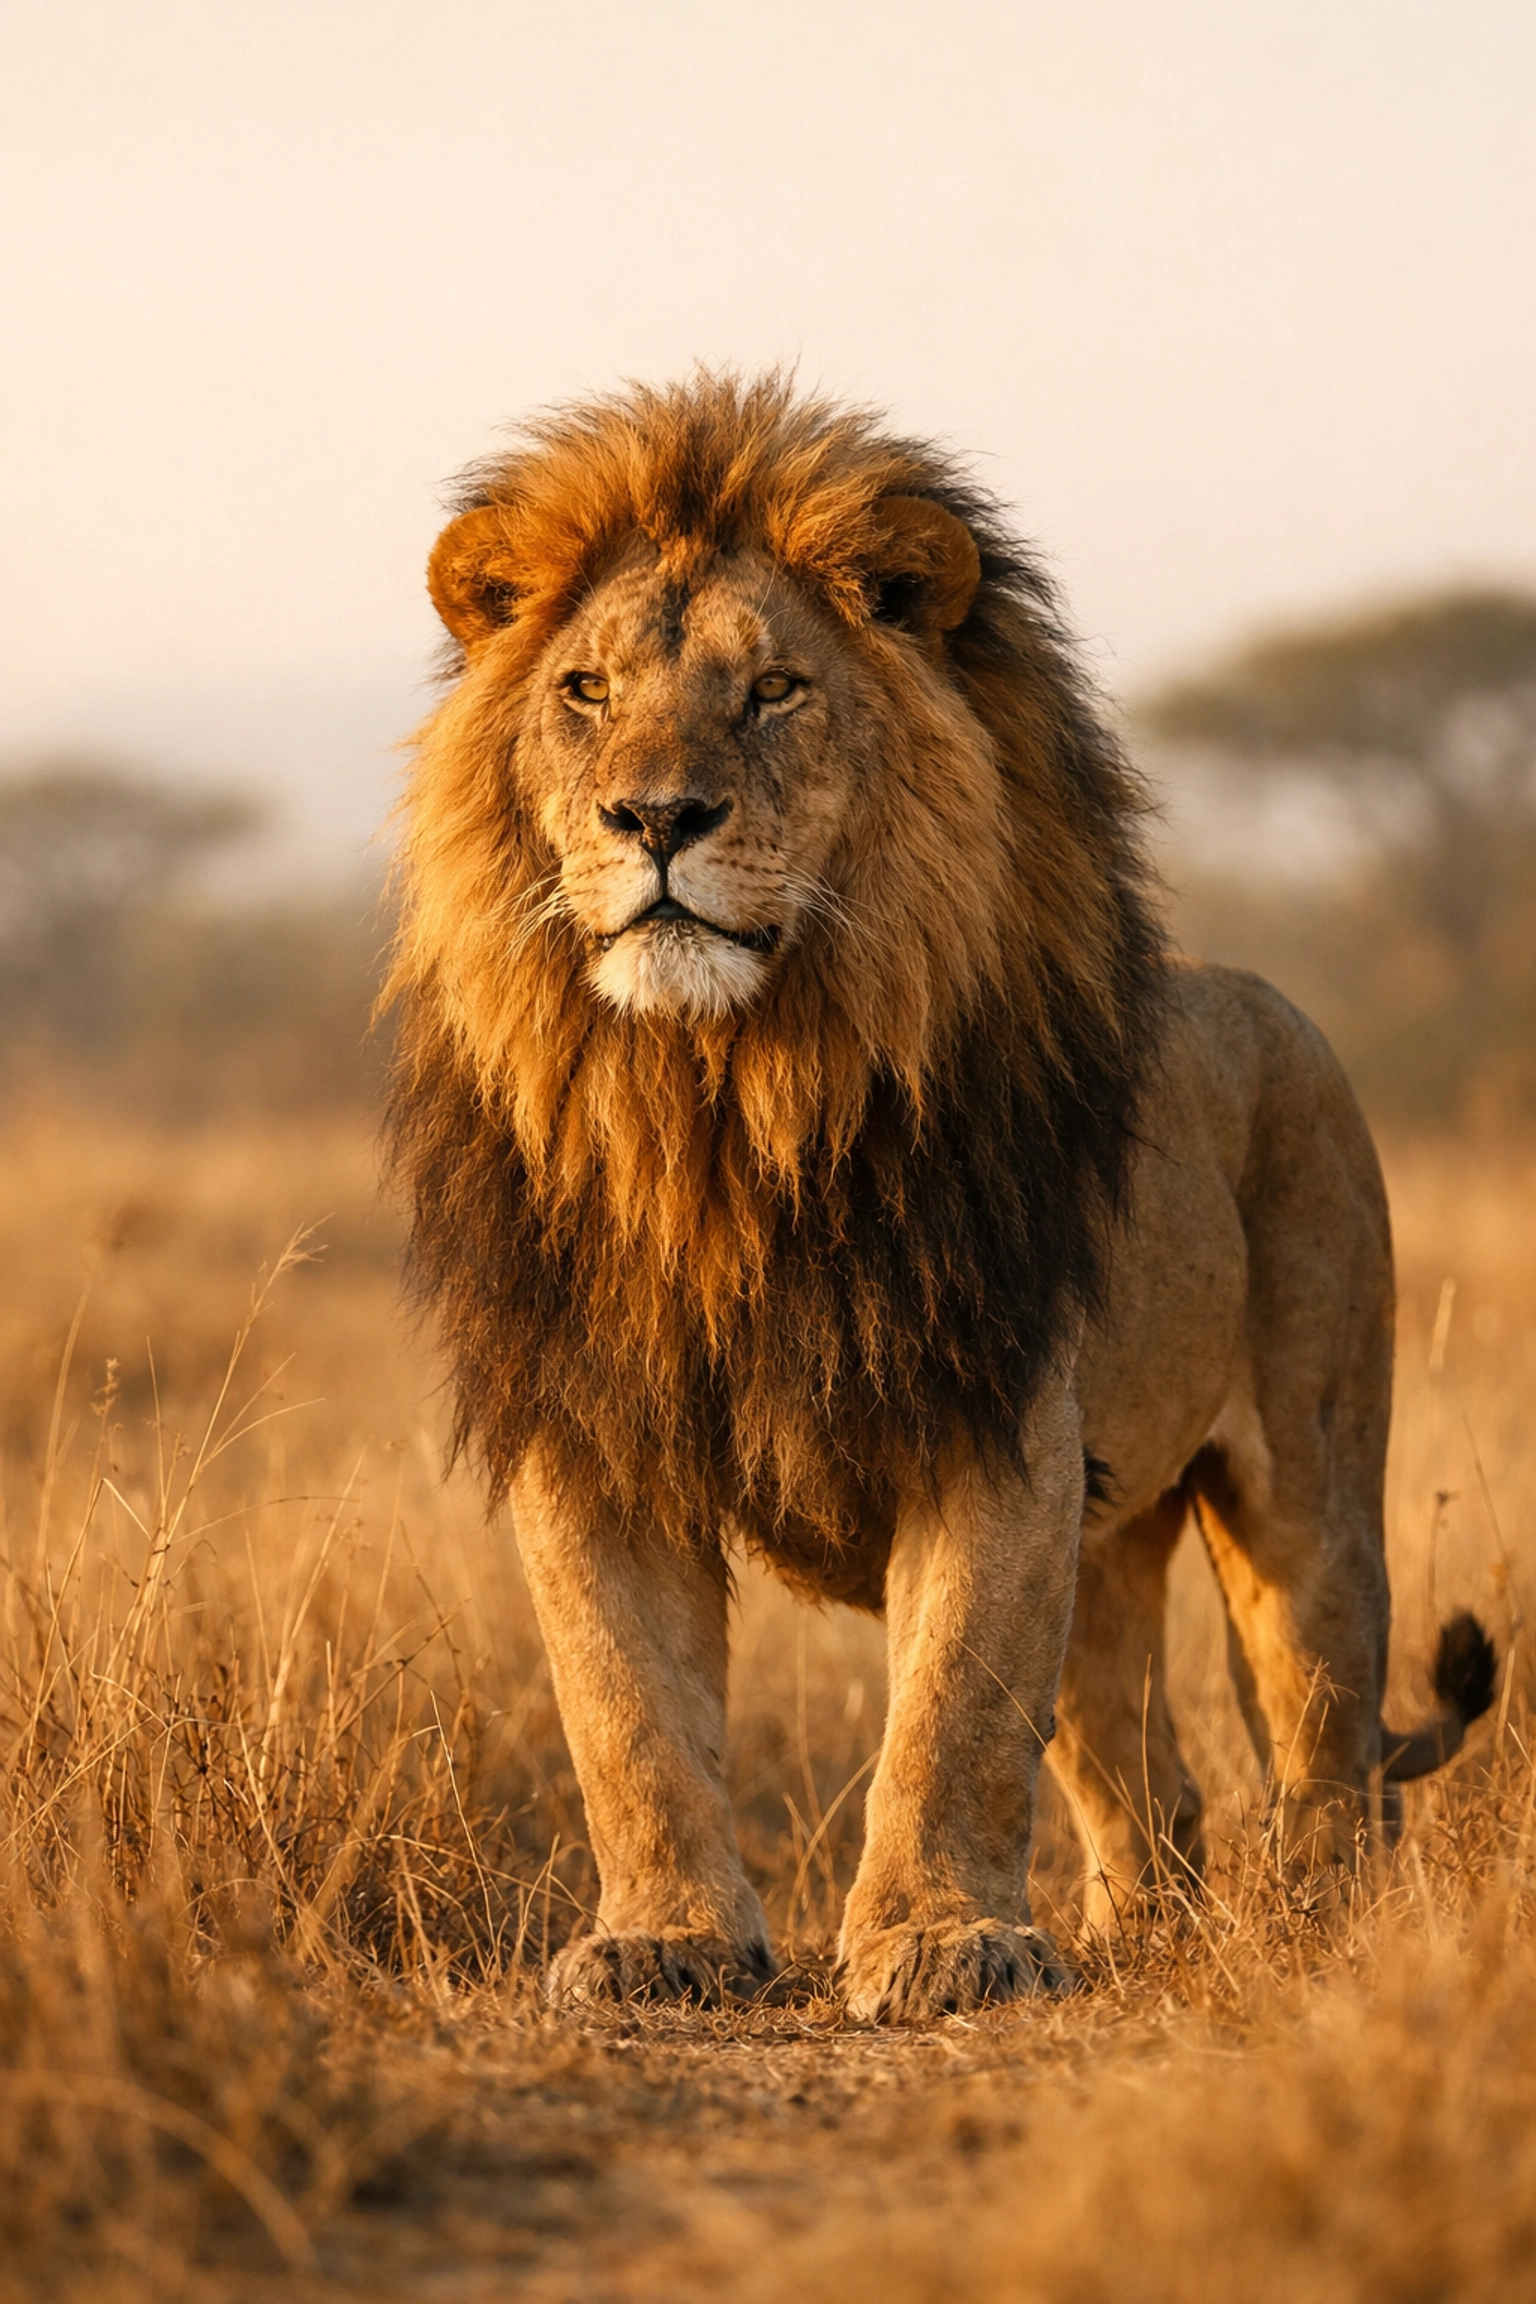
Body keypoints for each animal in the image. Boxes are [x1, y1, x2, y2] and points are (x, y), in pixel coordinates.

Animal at [385, 373, 1495, 2023]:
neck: (721, 1108)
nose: (655, 819)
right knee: (1144, 1772)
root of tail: (1268, 1000)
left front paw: (940, 1944)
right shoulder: (593, 1434)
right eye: (584, 691)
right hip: (1111, 1547)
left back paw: (1315, 1926)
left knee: (1327, 1726)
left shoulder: (998, 1422)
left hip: (1309, 1473)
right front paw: (664, 1943)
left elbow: (954, 1713)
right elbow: (625, 1715)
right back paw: (1135, 1929)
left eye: (775, 691)